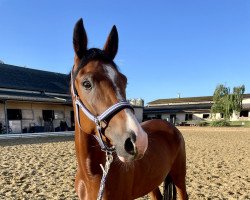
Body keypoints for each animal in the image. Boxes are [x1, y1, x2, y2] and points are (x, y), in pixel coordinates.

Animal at [70, 18, 188, 199]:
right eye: (86, 83)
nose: (138, 141)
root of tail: (170, 126)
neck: (92, 176)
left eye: (124, 80)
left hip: (179, 177)